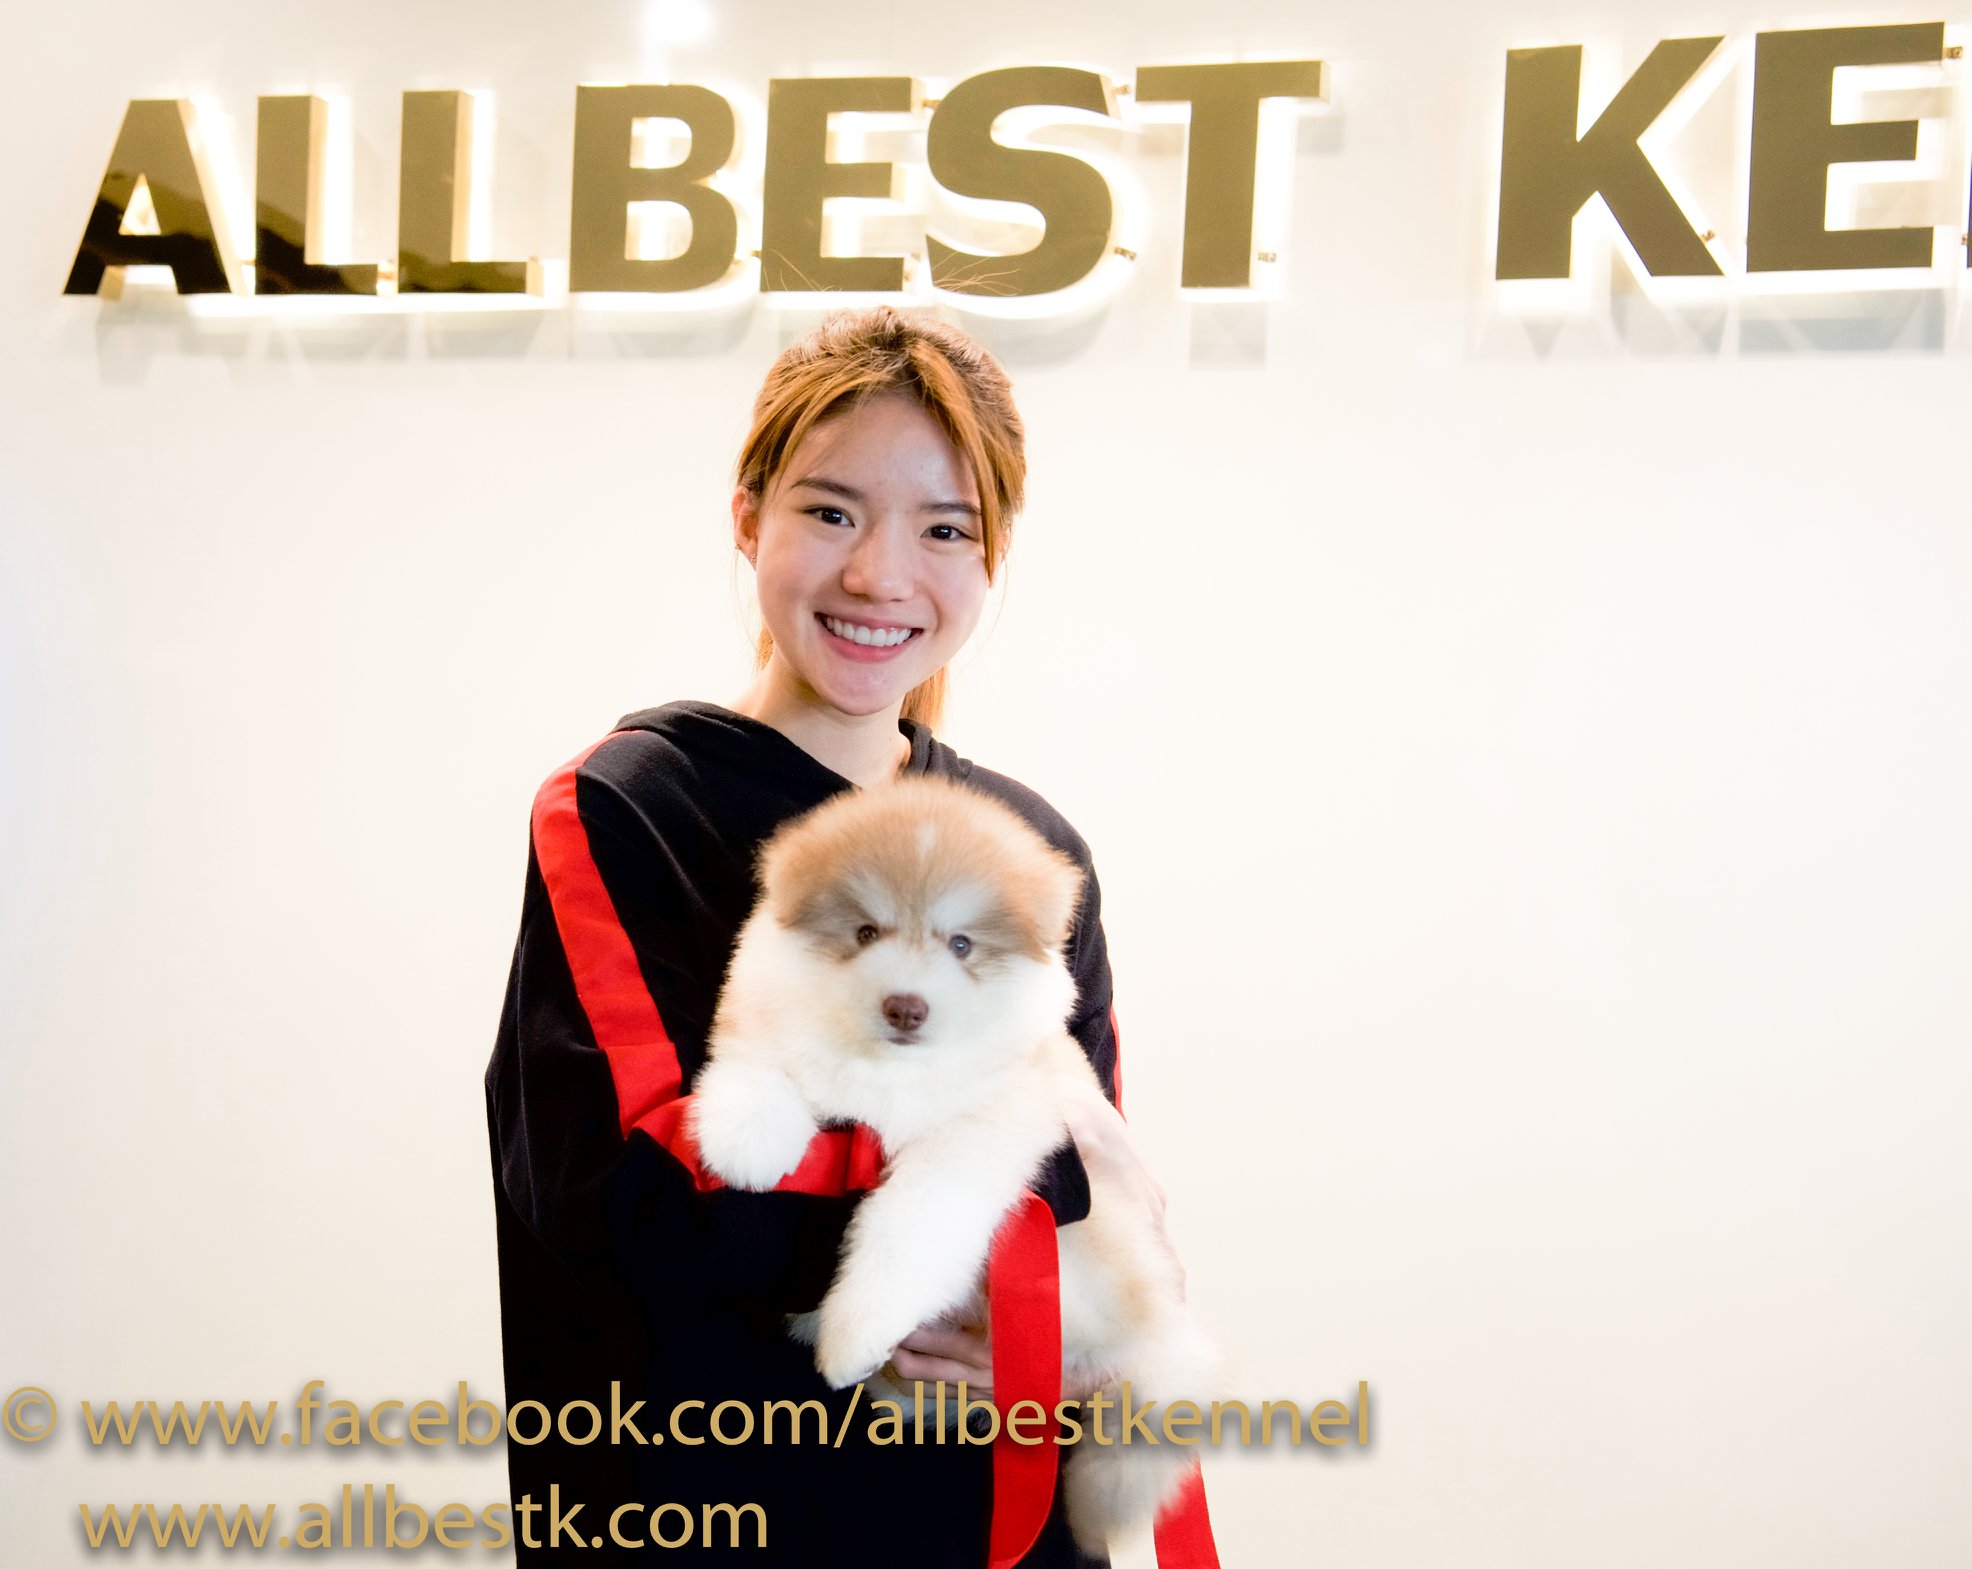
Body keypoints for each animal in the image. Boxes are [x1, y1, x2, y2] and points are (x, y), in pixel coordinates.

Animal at [689, 775, 1219, 1549]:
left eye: (962, 943)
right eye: (866, 932)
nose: (906, 1006)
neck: (893, 1072)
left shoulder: (985, 1132)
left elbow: (909, 1225)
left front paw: (856, 1328)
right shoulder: (768, 1011)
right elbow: (757, 1057)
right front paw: (745, 1131)